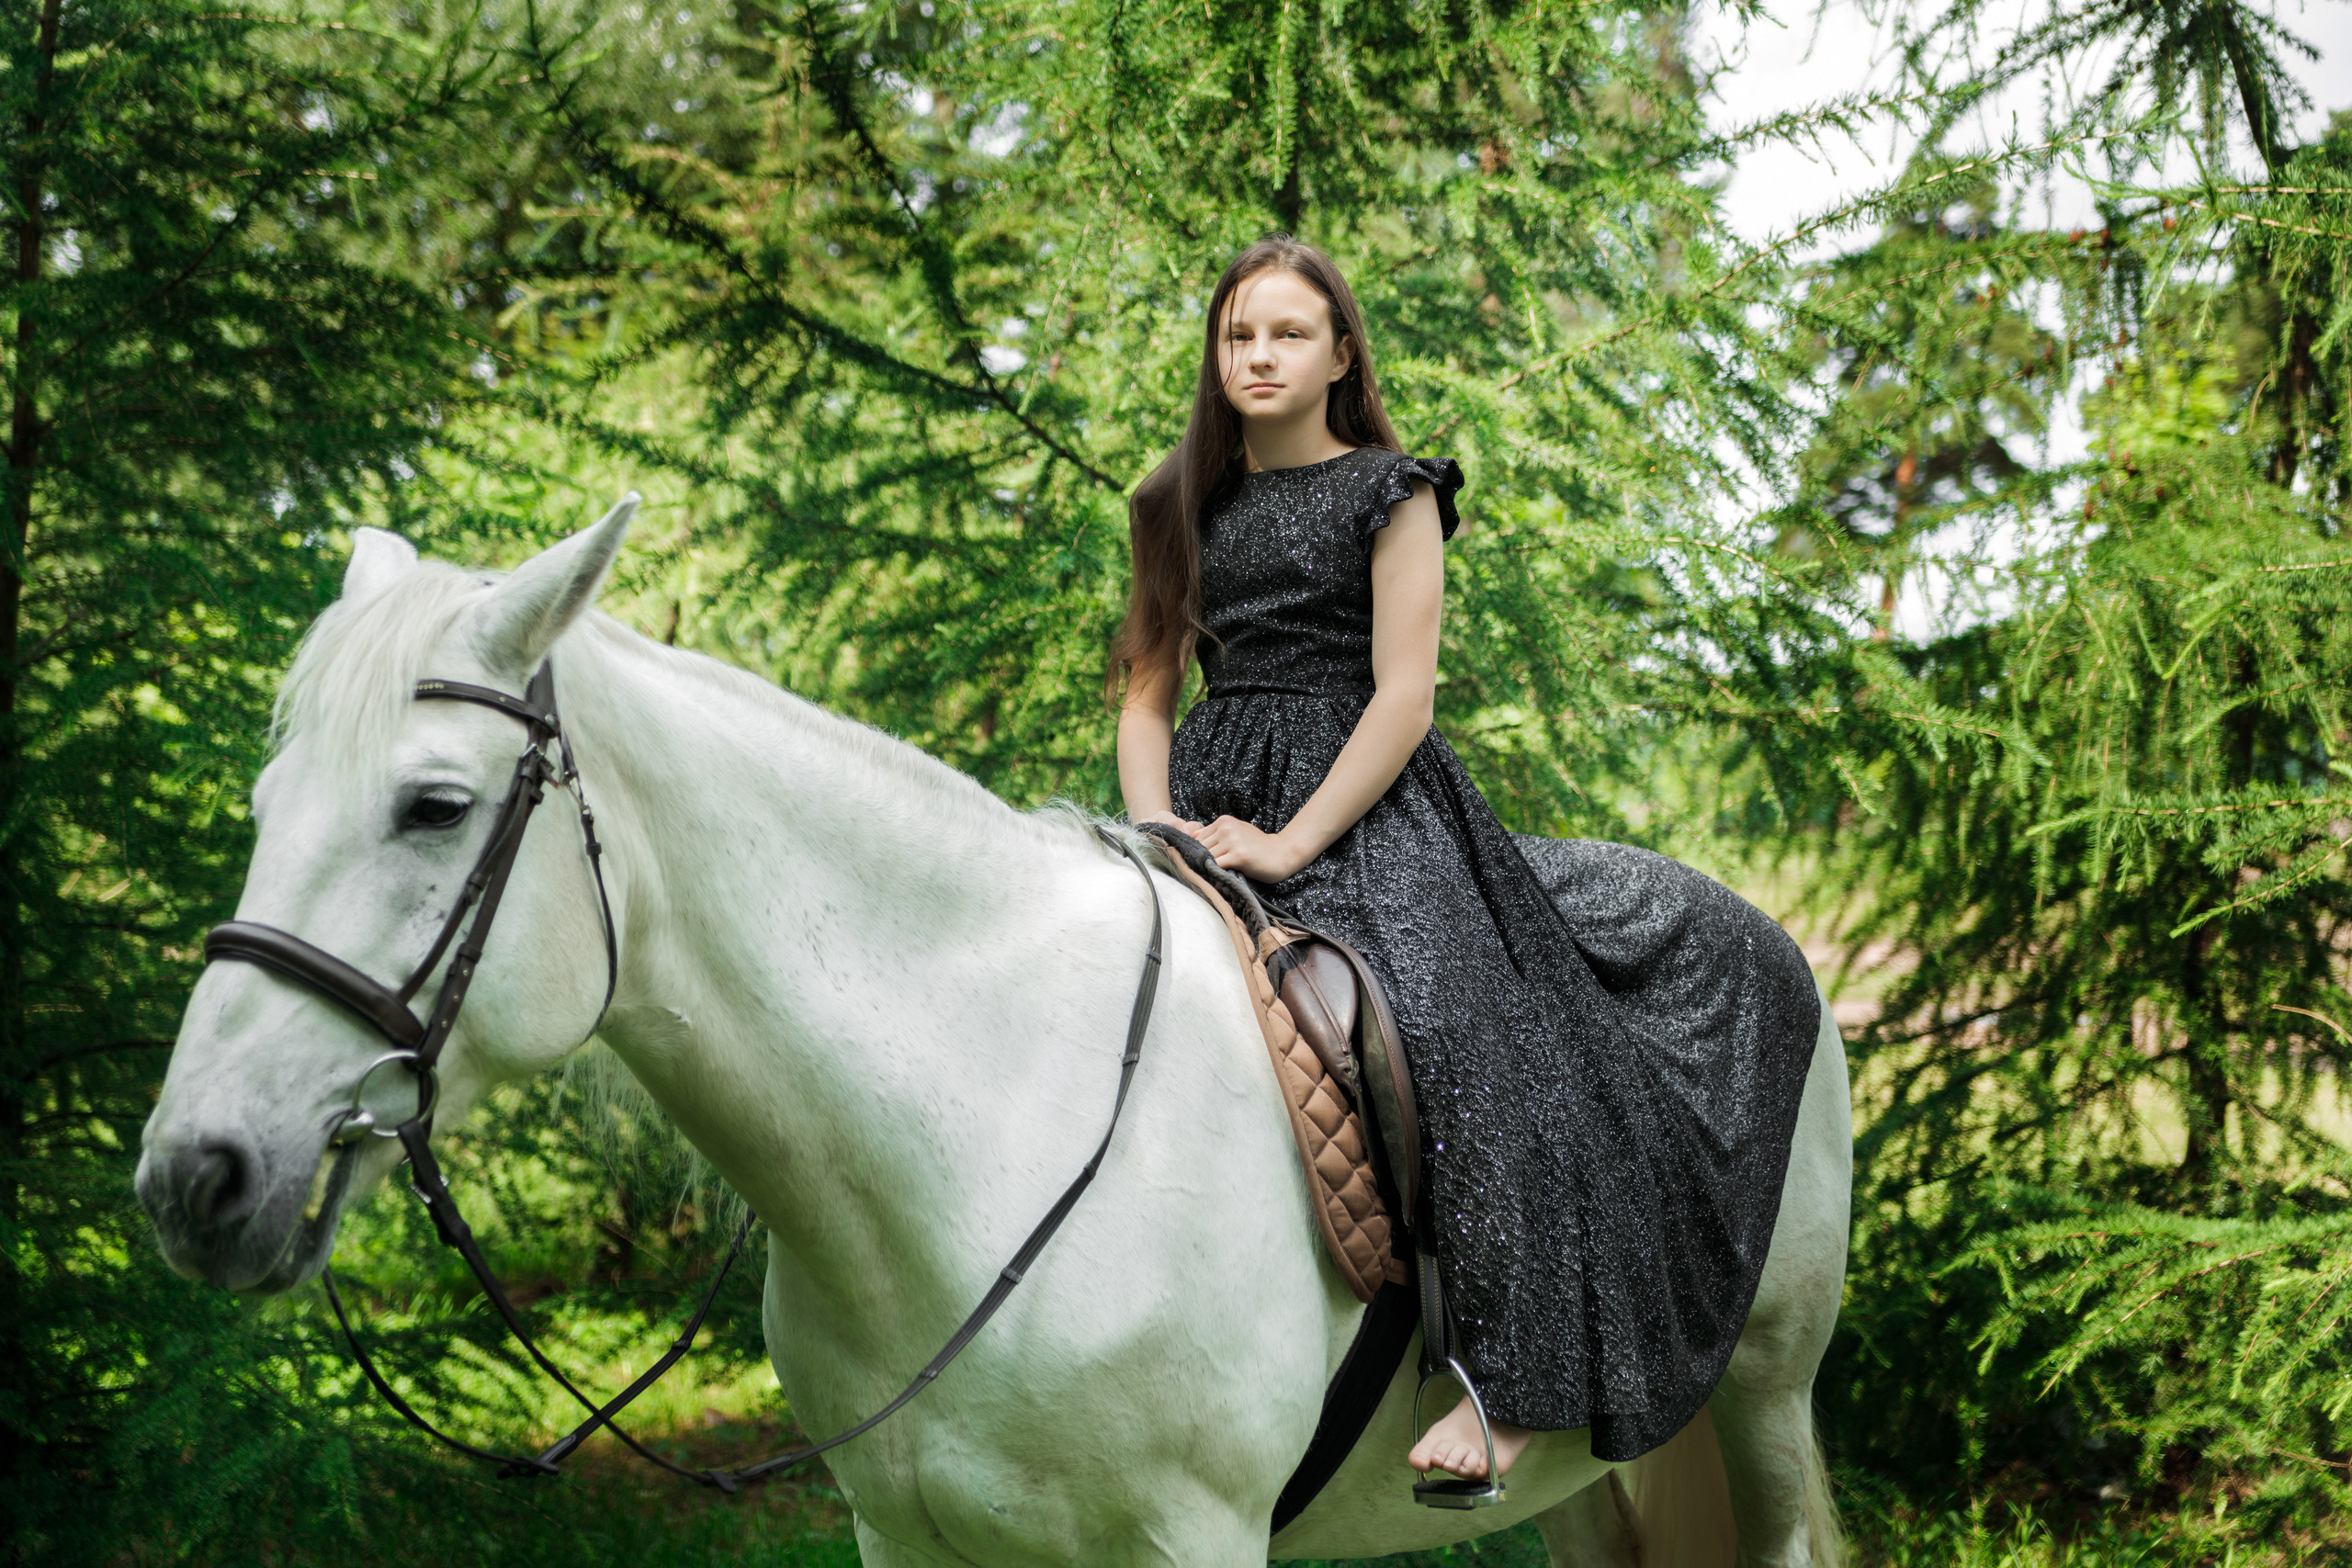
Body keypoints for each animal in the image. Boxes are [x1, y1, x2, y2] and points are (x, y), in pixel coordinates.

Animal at [137, 504, 1853, 1567]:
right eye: (265, 804)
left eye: (432, 806)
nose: (195, 1175)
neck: (981, 1128)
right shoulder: (905, 1534)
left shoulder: (1195, 1536)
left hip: (1765, 1408)